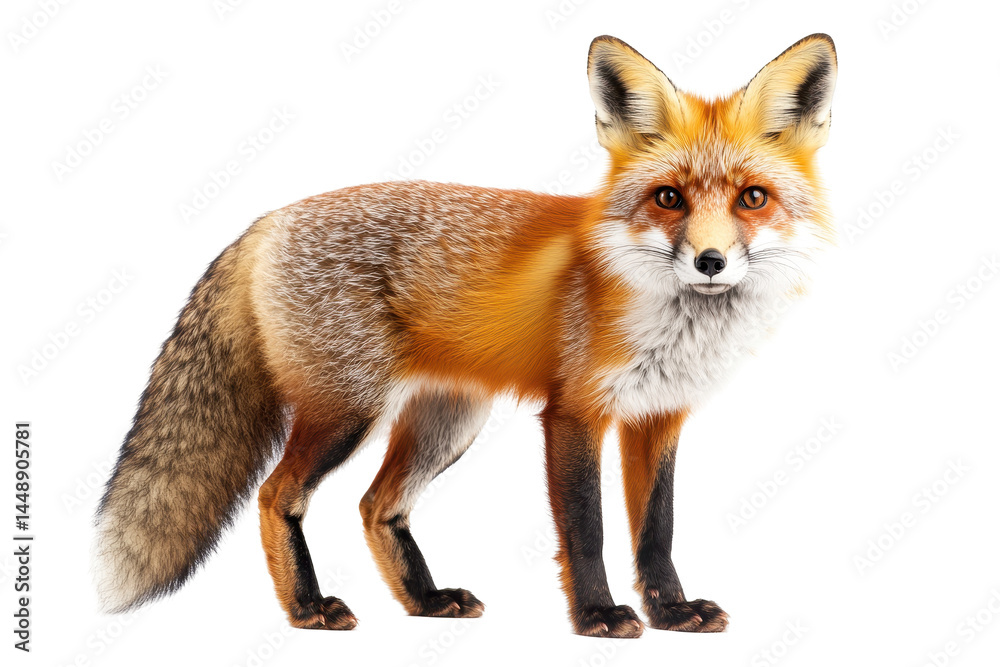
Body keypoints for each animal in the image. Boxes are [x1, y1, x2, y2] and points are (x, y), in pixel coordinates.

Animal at [95, 34, 837, 637]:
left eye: (752, 198)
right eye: (669, 198)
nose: (710, 261)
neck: (672, 324)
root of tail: (267, 220)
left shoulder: (659, 416)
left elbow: (657, 531)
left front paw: (674, 613)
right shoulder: (575, 411)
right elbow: (588, 530)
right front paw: (598, 615)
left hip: (448, 423)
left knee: (377, 506)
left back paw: (424, 601)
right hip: (348, 411)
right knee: (279, 495)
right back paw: (307, 607)